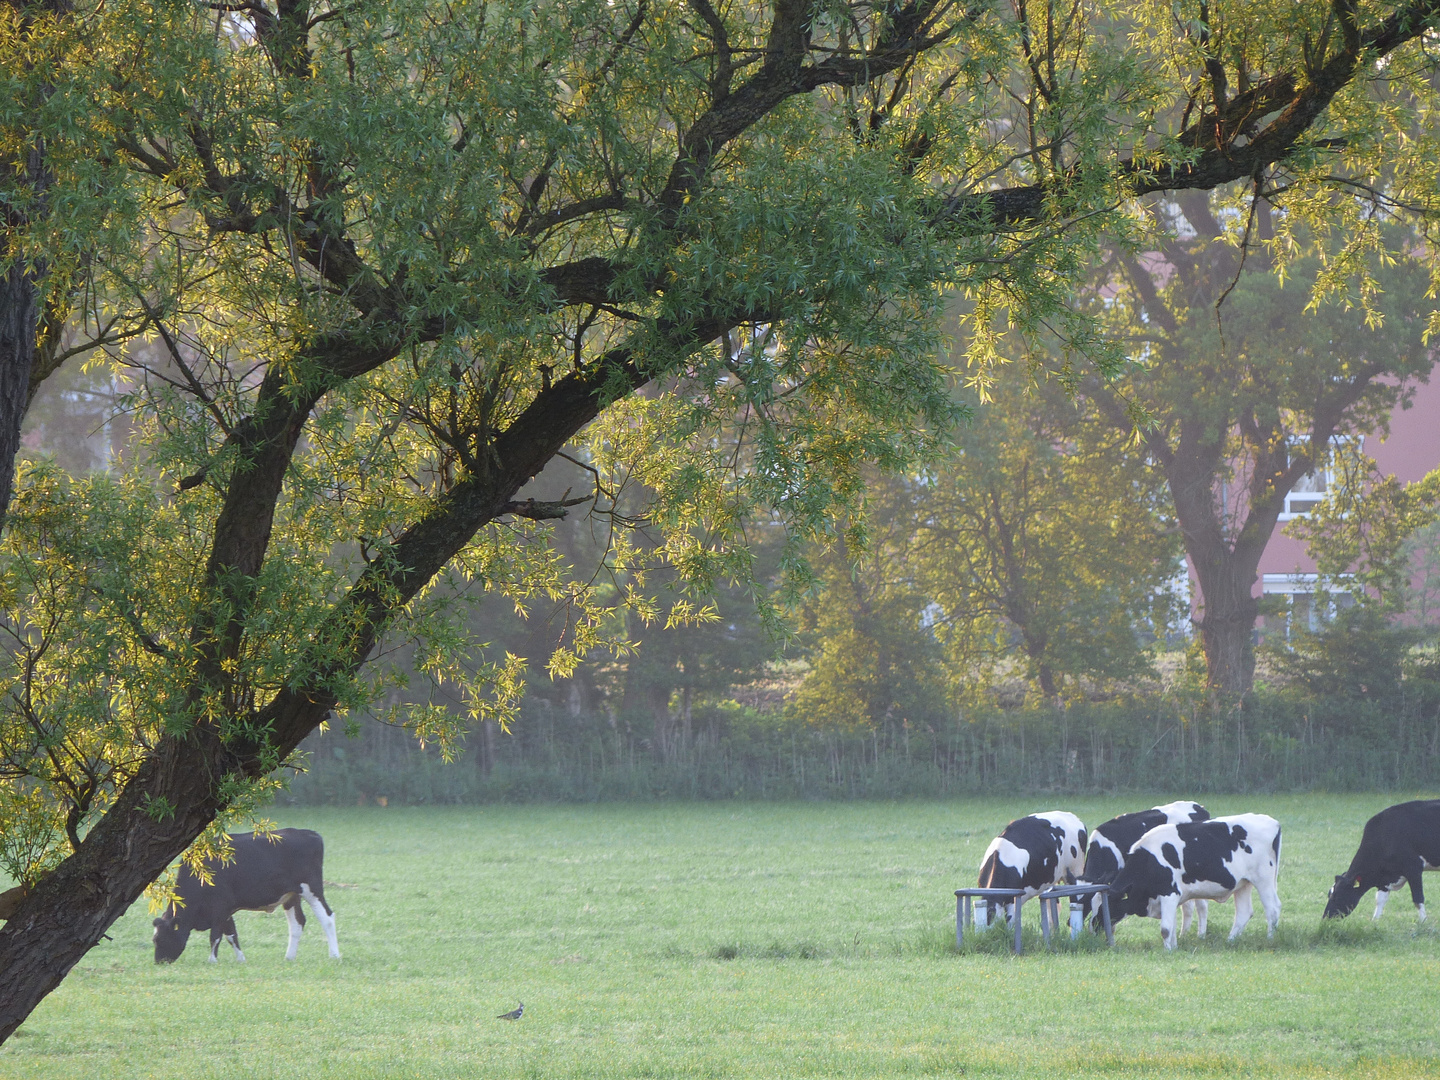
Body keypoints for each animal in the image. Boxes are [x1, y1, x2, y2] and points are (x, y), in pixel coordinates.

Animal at [152, 829, 339, 961]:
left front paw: (212, 960)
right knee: (297, 923)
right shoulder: (226, 910)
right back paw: (289, 957)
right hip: (291, 895)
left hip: (312, 888)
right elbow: (231, 934)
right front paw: (241, 959)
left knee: (327, 918)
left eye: (159, 939)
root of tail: (309, 833)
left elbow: (216, 936)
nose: (159, 962)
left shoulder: (221, 907)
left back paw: (334, 955)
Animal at [1082, 806, 1209, 938]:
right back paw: (1184, 933)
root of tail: (1198, 807)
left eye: (1103, 907)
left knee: (1201, 905)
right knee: (1188, 905)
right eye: (1089, 905)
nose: (1092, 929)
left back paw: (1200, 935)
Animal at [1100, 817, 1284, 950]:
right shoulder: (1172, 898)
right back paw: (1230, 941)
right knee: (1244, 913)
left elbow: (1165, 929)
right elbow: (1172, 926)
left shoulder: (1169, 892)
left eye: (1104, 907)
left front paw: (1168, 951)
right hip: (1243, 883)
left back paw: (1270, 940)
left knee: (1272, 909)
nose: (1095, 930)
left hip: (1263, 879)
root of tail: (1272, 822)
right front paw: (1174, 947)